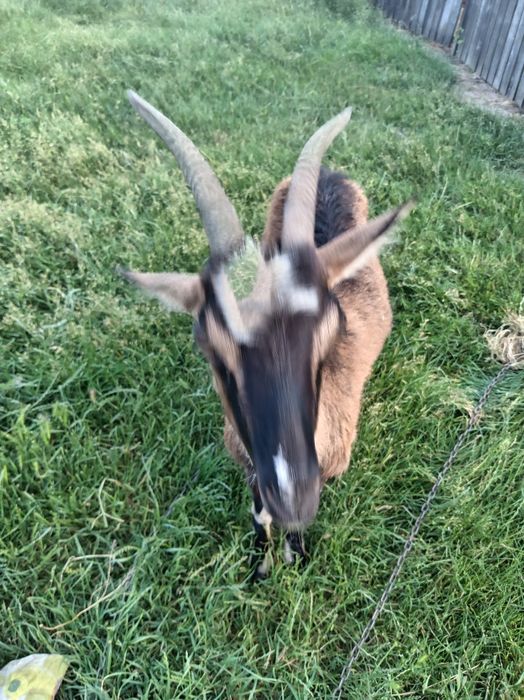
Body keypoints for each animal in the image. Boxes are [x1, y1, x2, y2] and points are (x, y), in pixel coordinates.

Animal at [120, 91, 411, 579]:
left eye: (333, 330)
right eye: (209, 345)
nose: (295, 496)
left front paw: (295, 555)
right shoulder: (252, 470)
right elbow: (259, 514)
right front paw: (260, 565)